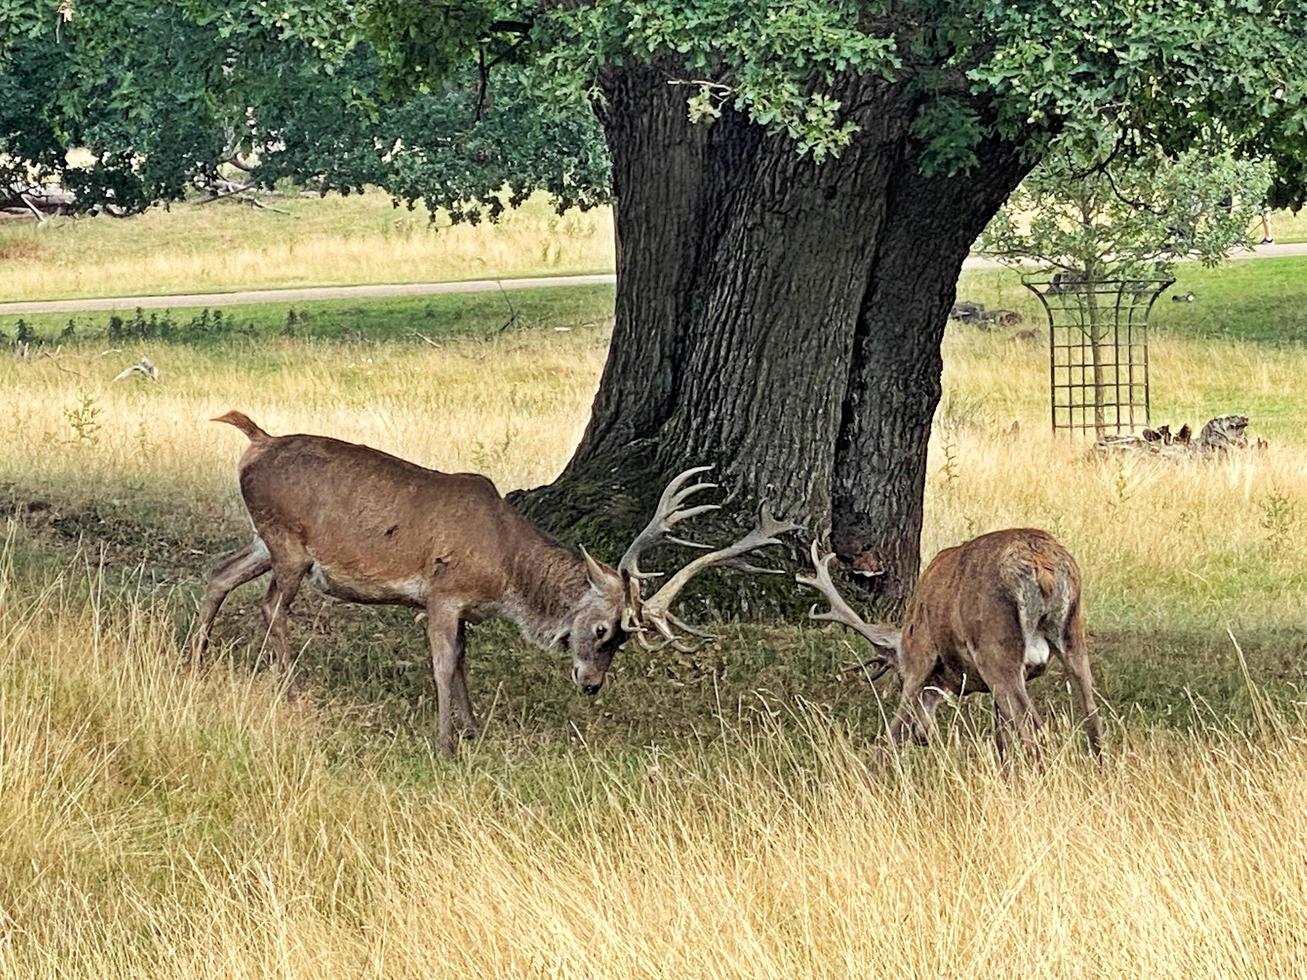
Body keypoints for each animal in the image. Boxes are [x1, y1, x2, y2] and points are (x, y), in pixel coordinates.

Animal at [194, 410, 799, 757]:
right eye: (604, 630)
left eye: (625, 640)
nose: (591, 685)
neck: (505, 573)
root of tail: (255, 442)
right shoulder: (442, 594)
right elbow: (443, 663)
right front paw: (443, 743)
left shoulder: (466, 610)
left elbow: (464, 660)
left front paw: (472, 727)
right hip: (288, 543)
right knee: (271, 607)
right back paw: (289, 689)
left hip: (265, 540)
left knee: (218, 574)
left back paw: (193, 659)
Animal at [794, 533, 1103, 763]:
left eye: (899, 677)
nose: (922, 734)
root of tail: (1044, 569)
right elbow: (1000, 738)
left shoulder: (919, 656)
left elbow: (892, 731)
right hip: (1073, 637)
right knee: (1092, 720)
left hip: (996, 646)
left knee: (1036, 731)